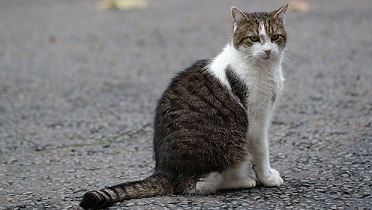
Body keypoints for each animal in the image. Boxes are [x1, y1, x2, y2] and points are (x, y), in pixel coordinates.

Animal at [80, 4, 290, 209]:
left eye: (275, 37)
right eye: (254, 38)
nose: (268, 51)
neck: (264, 68)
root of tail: (164, 170)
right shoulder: (256, 119)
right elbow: (262, 151)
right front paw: (267, 177)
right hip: (228, 148)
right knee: (201, 184)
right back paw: (243, 181)